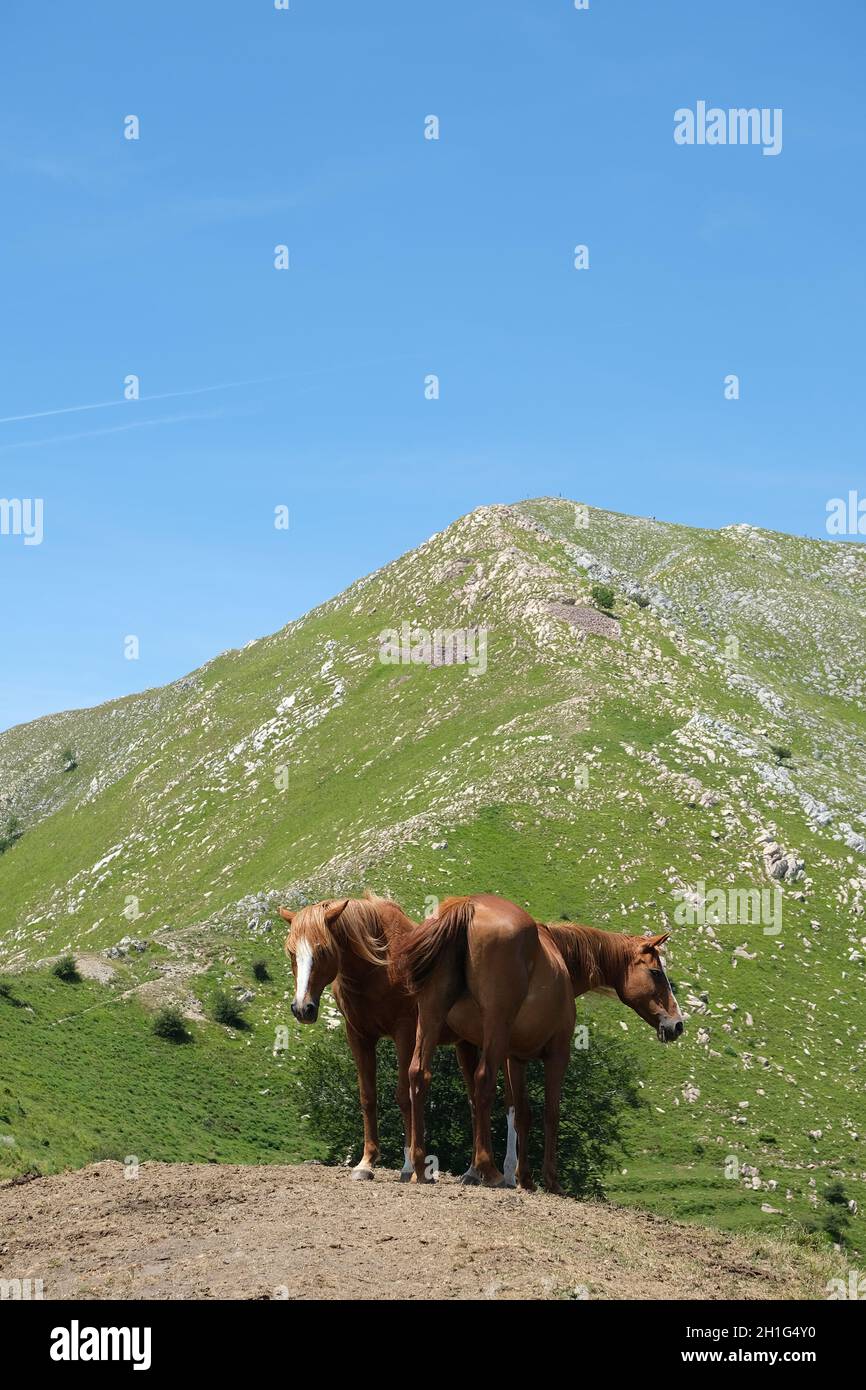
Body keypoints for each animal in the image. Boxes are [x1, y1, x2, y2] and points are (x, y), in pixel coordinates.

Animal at [279, 894, 481, 1181]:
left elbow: (404, 1096)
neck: (376, 968)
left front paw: (409, 1167)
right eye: (291, 952)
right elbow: (367, 1096)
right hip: (464, 1046)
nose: (301, 1008)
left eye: (323, 950)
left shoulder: (405, 1034)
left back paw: (480, 1172)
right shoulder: (358, 1036)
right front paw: (366, 1163)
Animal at [390, 893, 684, 1194]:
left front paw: (523, 1178)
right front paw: (550, 1179)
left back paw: (421, 1166)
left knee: (420, 1075)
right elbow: (549, 1113)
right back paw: (490, 1170)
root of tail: (470, 905)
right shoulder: (557, 1055)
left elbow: (521, 1114)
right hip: (494, 1029)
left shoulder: (511, 1057)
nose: (677, 1024)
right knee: (483, 1082)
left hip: (431, 1018)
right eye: (656, 972)